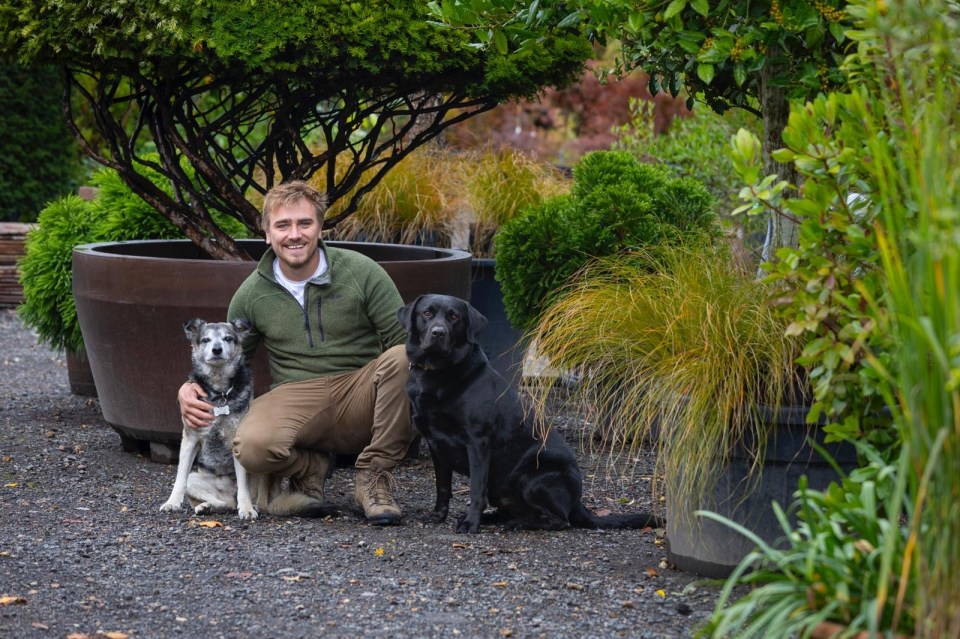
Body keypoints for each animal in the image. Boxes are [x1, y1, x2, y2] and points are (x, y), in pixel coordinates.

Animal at [158, 318, 338, 520]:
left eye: (228, 338)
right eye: (205, 340)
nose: (217, 349)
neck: (220, 394)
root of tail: (229, 491)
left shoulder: (237, 444)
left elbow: (243, 484)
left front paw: (246, 509)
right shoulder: (190, 439)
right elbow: (180, 477)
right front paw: (172, 503)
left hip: (262, 470)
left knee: (257, 499)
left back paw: (254, 505)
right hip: (195, 479)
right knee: (225, 503)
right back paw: (207, 507)